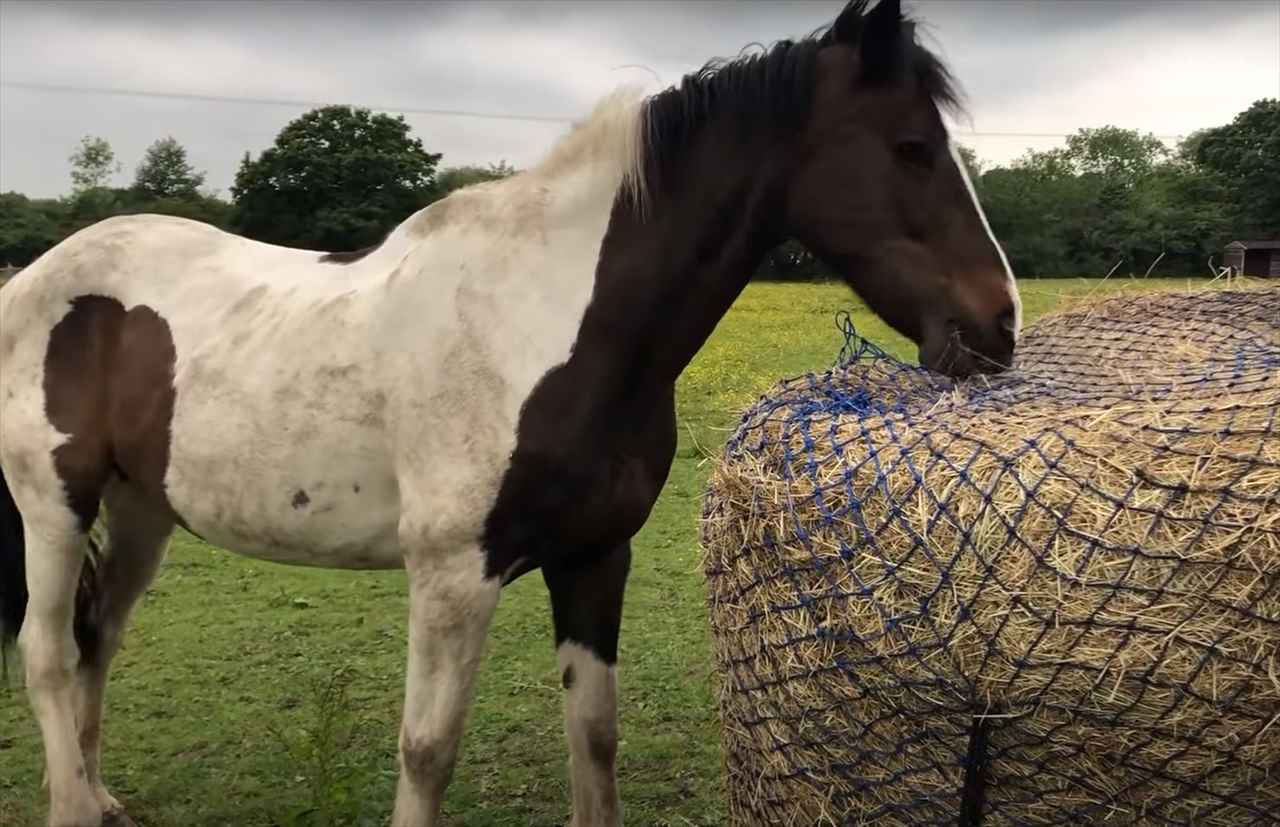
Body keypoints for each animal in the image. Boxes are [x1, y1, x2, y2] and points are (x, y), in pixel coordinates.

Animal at [0, 1, 1018, 827]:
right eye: (911, 146)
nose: (999, 324)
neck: (550, 322)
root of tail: (37, 276)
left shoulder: (596, 557)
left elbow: (594, 735)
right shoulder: (456, 575)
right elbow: (427, 752)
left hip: (141, 508)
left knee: (98, 639)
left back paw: (98, 791)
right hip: (54, 505)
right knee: (47, 651)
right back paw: (72, 803)